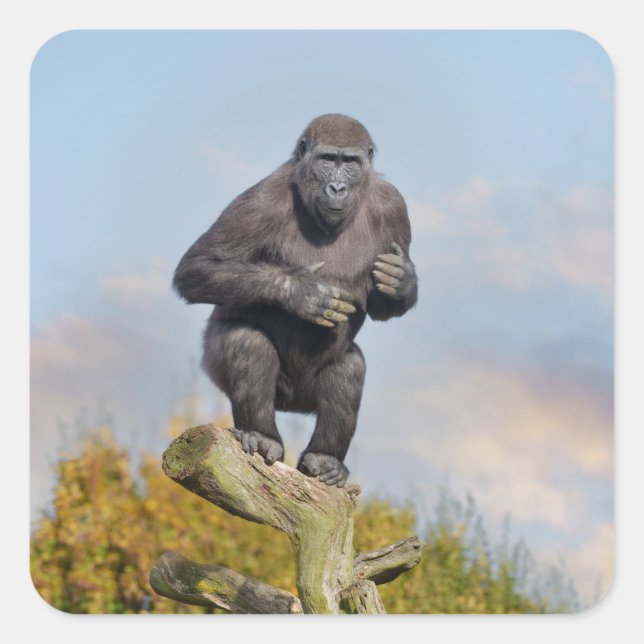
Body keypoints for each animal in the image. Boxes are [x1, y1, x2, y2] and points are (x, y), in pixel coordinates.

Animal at [173, 114, 417, 486]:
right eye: (327, 160)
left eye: (350, 163)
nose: (337, 188)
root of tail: (288, 404)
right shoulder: (260, 202)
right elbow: (198, 266)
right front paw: (302, 292)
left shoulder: (394, 206)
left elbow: (383, 304)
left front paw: (400, 281)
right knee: (246, 342)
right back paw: (261, 435)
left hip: (304, 398)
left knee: (349, 367)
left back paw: (326, 458)